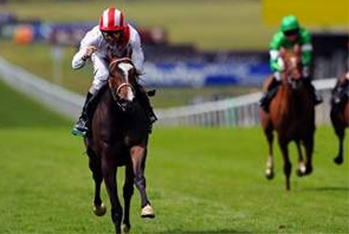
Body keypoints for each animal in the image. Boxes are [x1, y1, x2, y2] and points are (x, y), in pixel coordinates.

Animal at [83, 57, 154, 234]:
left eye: (133, 73)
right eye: (113, 74)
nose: (127, 100)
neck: (121, 116)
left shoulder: (137, 148)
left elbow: (138, 179)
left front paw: (146, 208)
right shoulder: (107, 160)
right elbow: (114, 202)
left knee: (127, 190)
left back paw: (126, 224)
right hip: (92, 156)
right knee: (97, 176)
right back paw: (98, 207)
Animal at [258, 45, 316, 190]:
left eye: (300, 62)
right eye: (286, 63)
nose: (296, 79)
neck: (294, 107)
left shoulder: (308, 133)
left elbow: (309, 166)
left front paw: (301, 168)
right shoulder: (282, 138)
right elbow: (287, 165)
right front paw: (288, 188)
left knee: (297, 143)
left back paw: (300, 165)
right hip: (267, 128)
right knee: (270, 142)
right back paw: (269, 170)